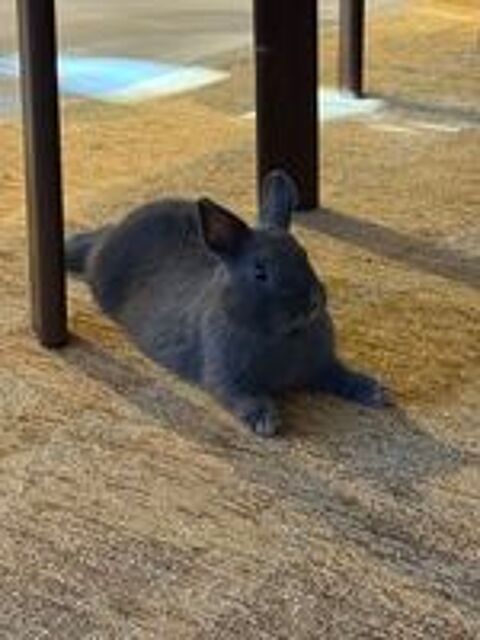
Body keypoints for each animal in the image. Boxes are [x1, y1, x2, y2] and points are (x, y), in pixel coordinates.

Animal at [65, 170, 392, 437]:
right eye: (260, 272)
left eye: (304, 254)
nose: (311, 303)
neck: (285, 336)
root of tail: (106, 242)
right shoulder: (226, 379)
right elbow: (241, 397)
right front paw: (265, 421)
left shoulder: (323, 366)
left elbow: (340, 375)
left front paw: (375, 391)